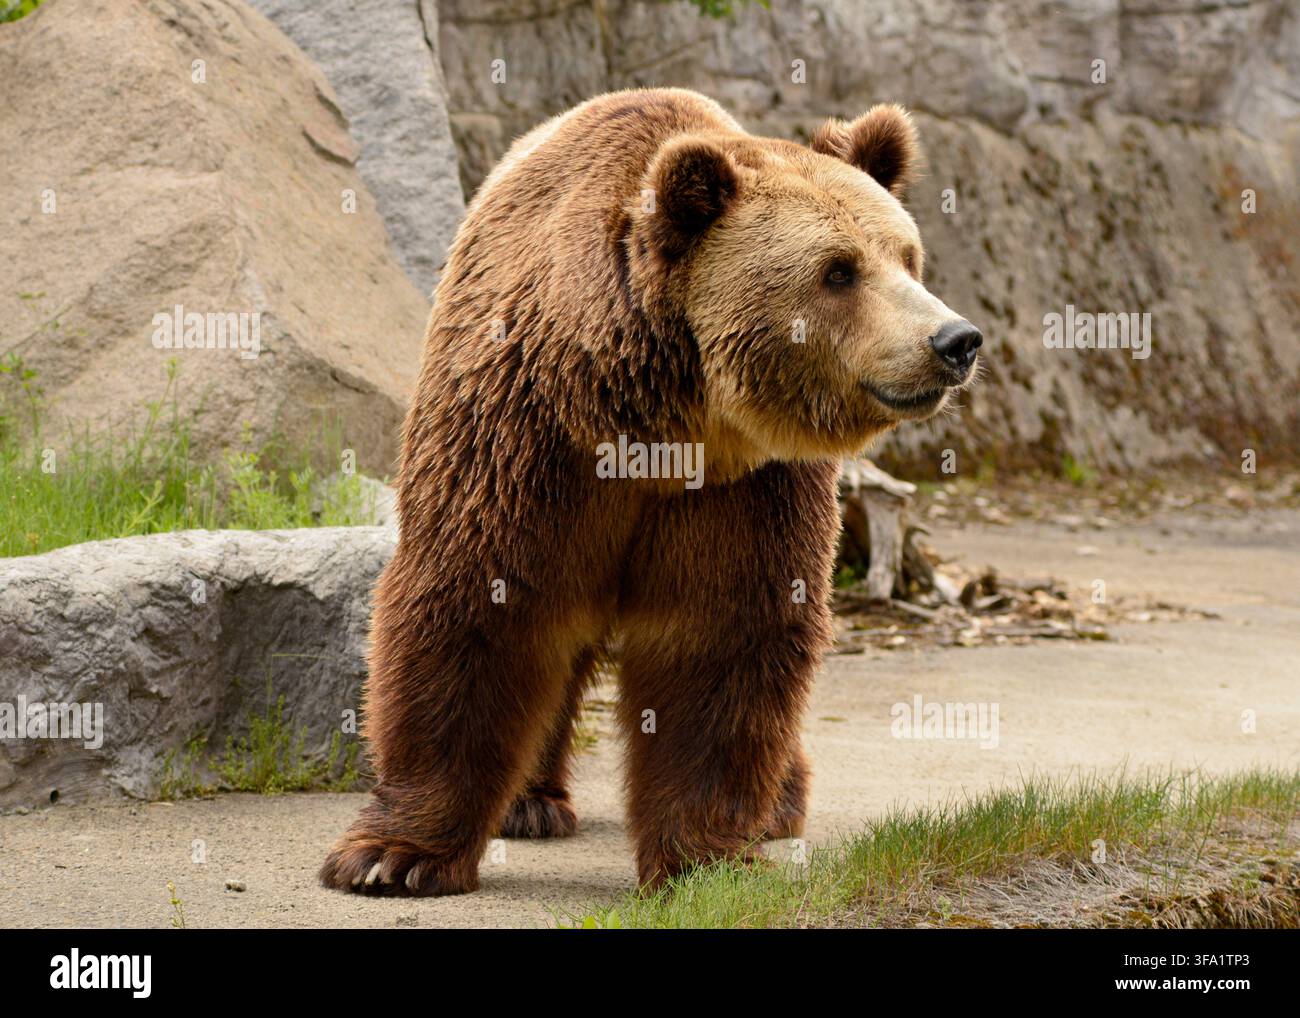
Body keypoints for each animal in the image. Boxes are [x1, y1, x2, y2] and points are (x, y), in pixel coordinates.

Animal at [319, 87, 981, 896]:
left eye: (907, 256)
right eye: (839, 270)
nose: (954, 340)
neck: (653, 427)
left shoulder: (748, 486)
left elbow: (722, 638)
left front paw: (703, 861)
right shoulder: (526, 441)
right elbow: (476, 602)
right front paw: (393, 856)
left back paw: (777, 803)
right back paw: (529, 802)